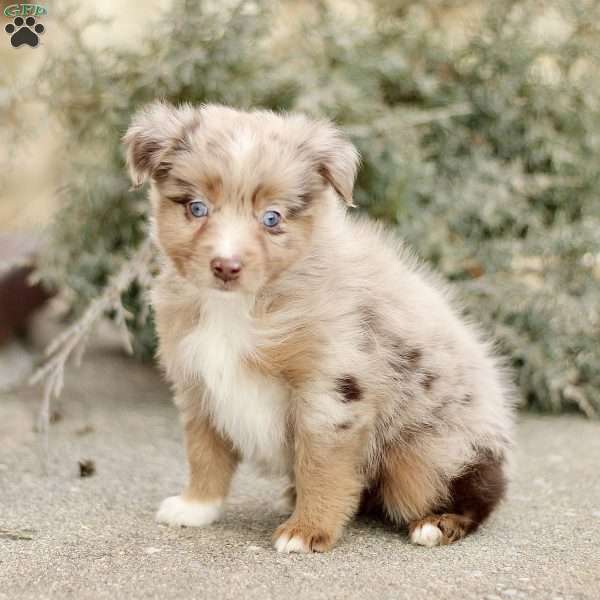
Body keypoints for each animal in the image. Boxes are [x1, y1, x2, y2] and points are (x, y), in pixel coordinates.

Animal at [123, 102, 516, 552]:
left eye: (271, 217)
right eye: (197, 208)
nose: (225, 266)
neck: (240, 306)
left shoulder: (331, 388)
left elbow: (320, 464)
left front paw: (307, 529)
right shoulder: (197, 384)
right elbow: (205, 451)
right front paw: (196, 506)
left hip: (425, 457)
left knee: (479, 486)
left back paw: (438, 522)